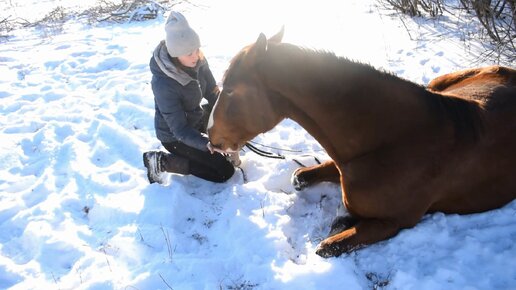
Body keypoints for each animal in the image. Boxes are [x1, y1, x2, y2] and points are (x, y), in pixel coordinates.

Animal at [208, 28, 516, 258]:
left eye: (231, 90)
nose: (211, 138)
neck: (394, 142)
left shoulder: (395, 222)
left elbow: (327, 247)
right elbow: (301, 176)